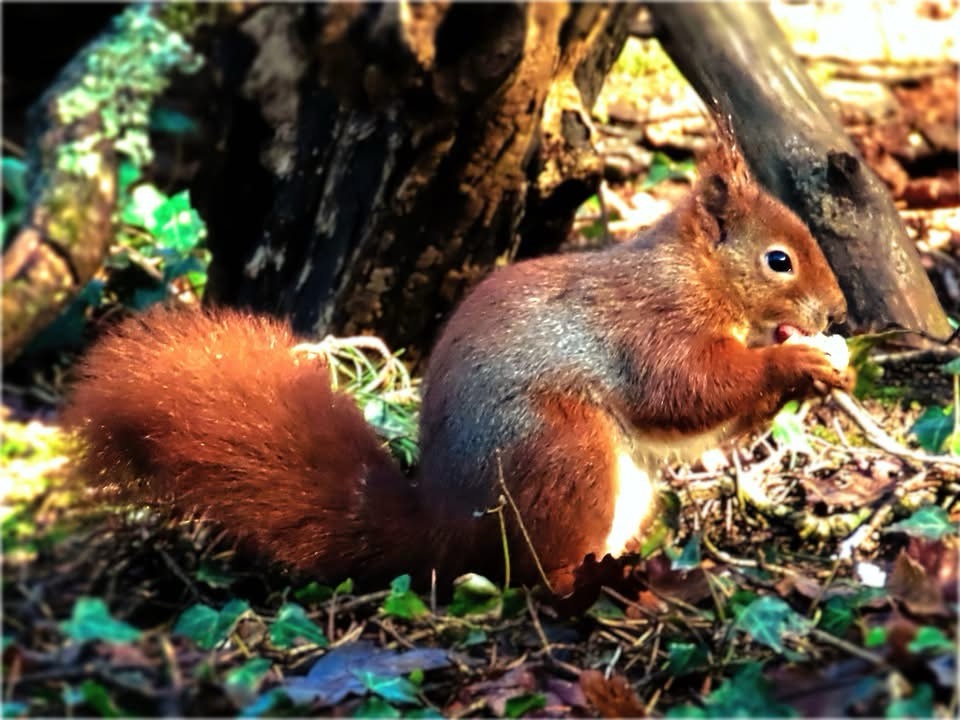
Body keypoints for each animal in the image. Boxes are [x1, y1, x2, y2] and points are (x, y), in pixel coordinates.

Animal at [63, 135, 852, 596]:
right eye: (779, 260)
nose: (838, 314)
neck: (696, 274)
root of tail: (443, 534)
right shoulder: (650, 326)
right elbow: (686, 389)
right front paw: (795, 359)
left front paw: (827, 367)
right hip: (562, 453)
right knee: (534, 577)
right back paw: (594, 584)